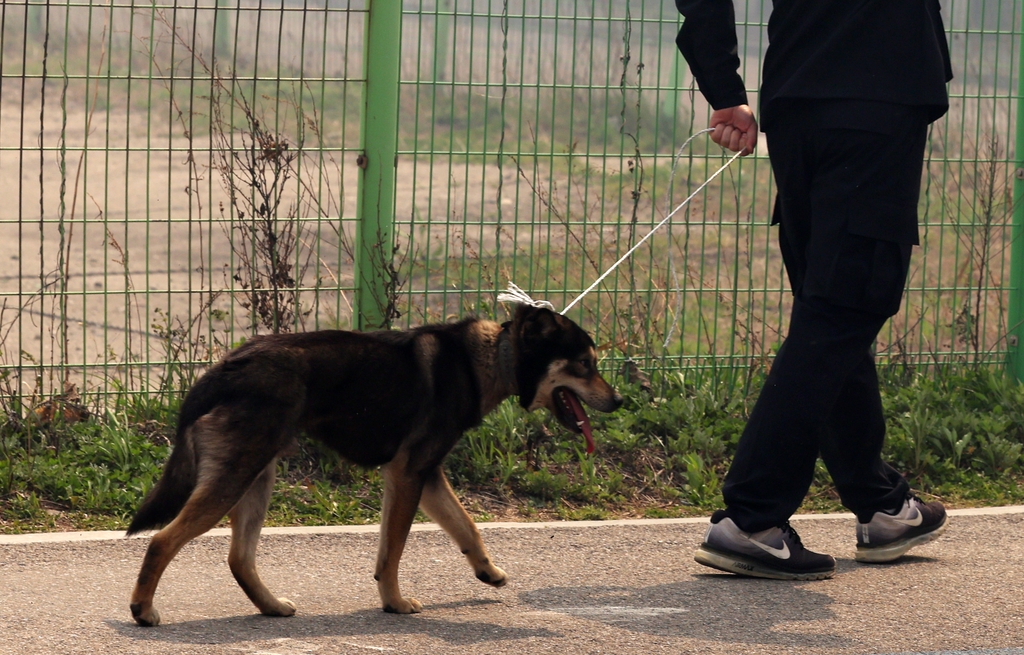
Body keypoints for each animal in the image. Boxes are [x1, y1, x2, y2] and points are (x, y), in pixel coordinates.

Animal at [123, 304, 618, 626]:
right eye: (585, 364)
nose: (620, 401)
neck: (493, 357)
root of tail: (224, 368)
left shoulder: (427, 476)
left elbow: (466, 526)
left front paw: (487, 571)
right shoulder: (408, 474)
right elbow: (393, 550)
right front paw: (394, 602)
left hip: (256, 476)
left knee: (239, 558)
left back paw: (271, 607)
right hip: (236, 476)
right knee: (162, 542)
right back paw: (143, 610)